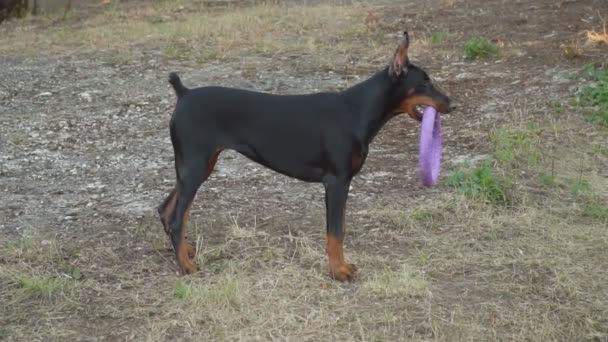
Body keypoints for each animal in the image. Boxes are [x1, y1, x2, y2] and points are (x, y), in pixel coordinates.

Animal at [159, 31, 454, 280]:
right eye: (424, 83)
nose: (452, 104)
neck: (358, 110)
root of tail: (183, 93)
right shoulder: (336, 181)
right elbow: (335, 232)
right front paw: (338, 272)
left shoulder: (342, 183)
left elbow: (340, 228)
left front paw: (341, 266)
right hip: (195, 165)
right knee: (176, 217)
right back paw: (186, 266)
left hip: (198, 166)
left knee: (166, 209)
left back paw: (183, 251)